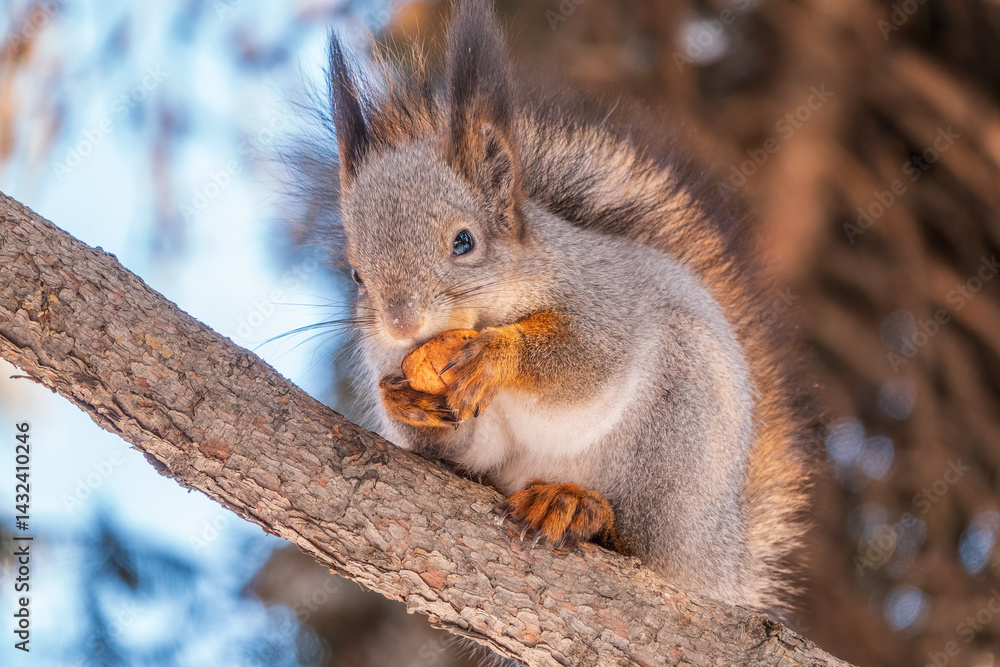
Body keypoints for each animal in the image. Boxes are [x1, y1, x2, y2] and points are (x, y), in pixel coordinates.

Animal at [300, 0, 811, 614]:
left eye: (464, 242)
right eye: (356, 273)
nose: (402, 325)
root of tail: (720, 557)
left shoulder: (605, 304)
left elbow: (585, 366)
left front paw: (497, 355)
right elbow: (461, 445)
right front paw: (401, 400)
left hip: (678, 438)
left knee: (638, 540)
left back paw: (577, 507)